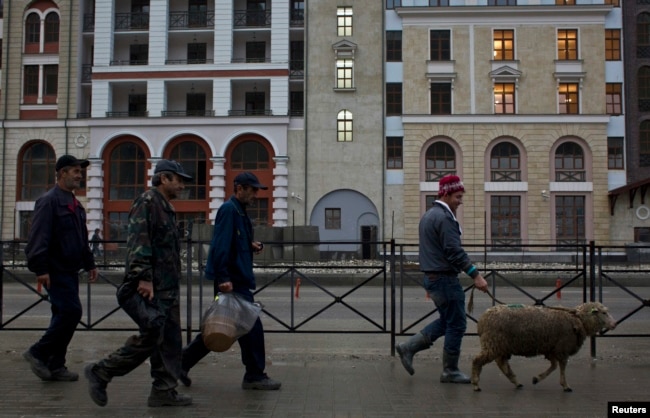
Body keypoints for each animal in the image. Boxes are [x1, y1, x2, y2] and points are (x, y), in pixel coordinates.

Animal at [470, 300, 612, 392]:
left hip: (500, 345)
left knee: (502, 364)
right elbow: (561, 367)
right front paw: (565, 385)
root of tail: (482, 320)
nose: (614, 324)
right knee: (477, 360)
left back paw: (516, 382)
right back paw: (476, 384)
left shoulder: (551, 349)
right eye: (604, 313)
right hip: (493, 343)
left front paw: (537, 378)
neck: (578, 320)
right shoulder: (562, 349)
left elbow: (554, 366)